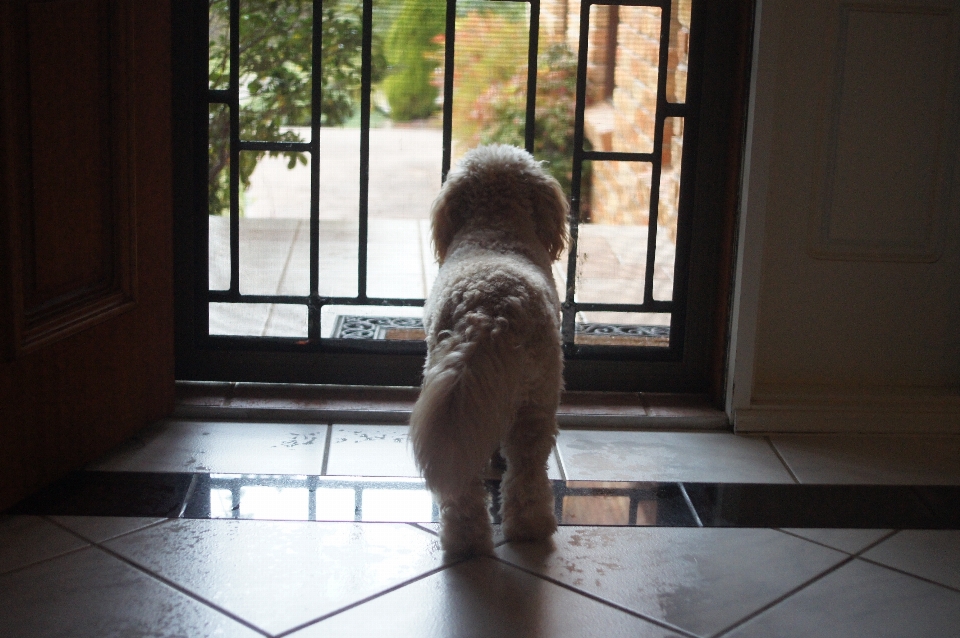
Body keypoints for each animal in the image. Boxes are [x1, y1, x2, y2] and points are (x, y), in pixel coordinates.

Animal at [406, 144, 568, 556]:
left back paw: (465, 539)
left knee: (468, 483)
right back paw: (531, 527)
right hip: (538, 397)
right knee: (527, 468)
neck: (496, 227)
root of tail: (489, 311)